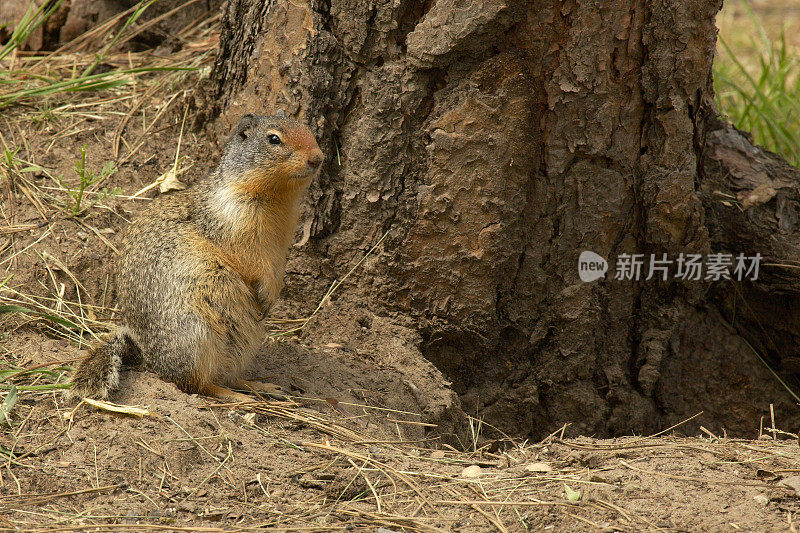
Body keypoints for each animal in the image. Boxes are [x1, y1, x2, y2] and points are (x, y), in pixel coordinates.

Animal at [69, 113, 324, 404]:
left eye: (308, 129)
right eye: (274, 139)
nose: (318, 158)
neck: (277, 199)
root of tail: (147, 357)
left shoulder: (282, 241)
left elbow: (278, 266)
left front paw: (274, 293)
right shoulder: (237, 226)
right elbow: (253, 263)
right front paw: (267, 293)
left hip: (243, 343)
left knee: (227, 375)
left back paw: (262, 386)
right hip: (196, 335)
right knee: (198, 384)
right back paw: (238, 396)